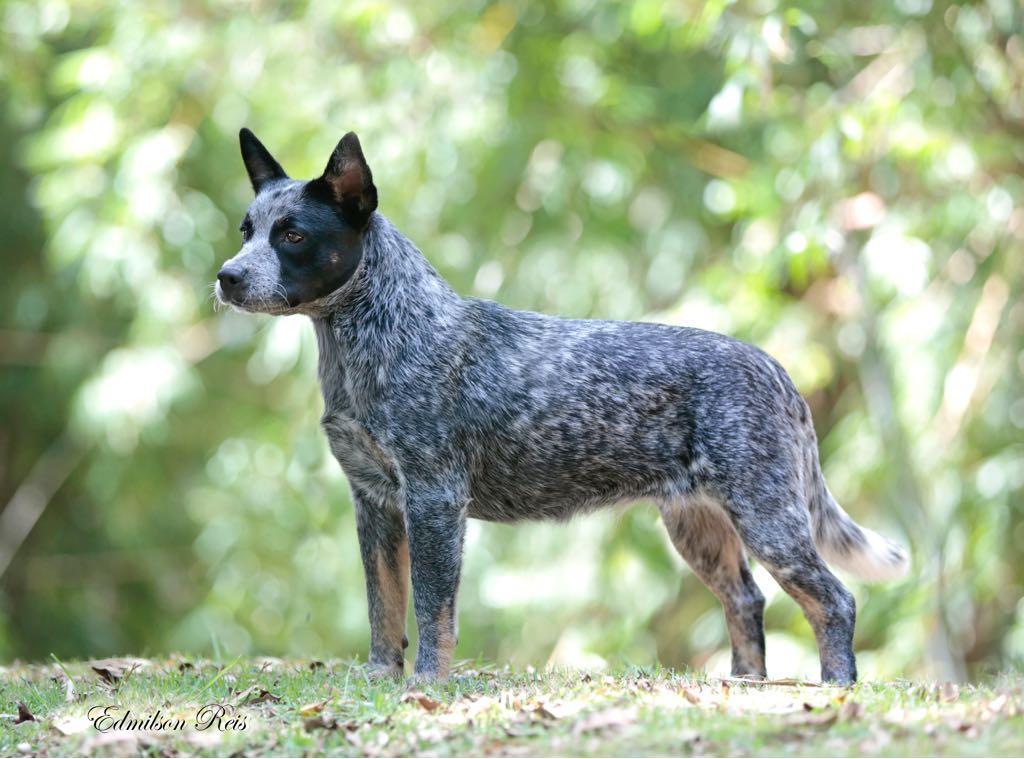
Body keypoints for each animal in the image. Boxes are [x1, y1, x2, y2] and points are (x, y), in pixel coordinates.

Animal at [218, 127, 913, 684]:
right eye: (246, 231)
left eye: (294, 234)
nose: (226, 276)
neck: (379, 336)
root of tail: (775, 369)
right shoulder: (374, 503)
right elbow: (383, 608)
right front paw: (380, 679)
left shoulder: (435, 498)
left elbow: (433, 607)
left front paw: (426, 686)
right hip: (698, 527)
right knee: (746, 601)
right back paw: (746, 685)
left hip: (768, 516)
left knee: (834, 600)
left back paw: (835, 687)